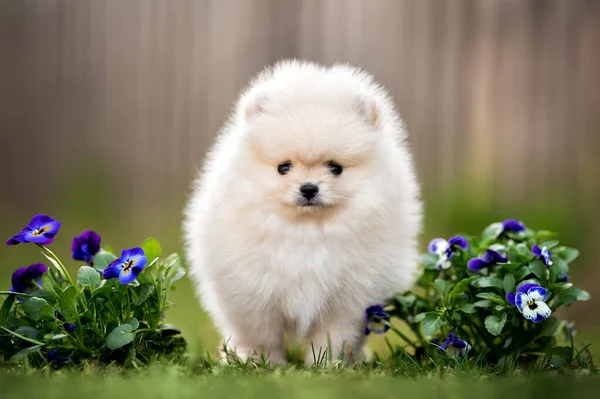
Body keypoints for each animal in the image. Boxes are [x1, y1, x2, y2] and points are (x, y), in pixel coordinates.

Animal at [183, 60, 422, 366]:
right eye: (283, 168)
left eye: (335, 168)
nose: (309, 188)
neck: (306, 230)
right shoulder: (252, 293)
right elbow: (262, 336)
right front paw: (262, 364)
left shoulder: (348, 299)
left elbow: (333, 336)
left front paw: (327, 364)